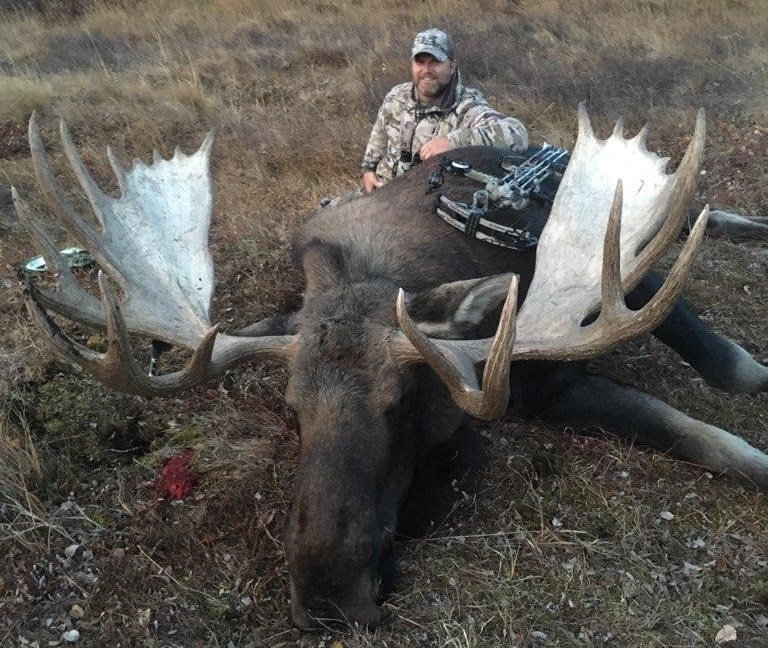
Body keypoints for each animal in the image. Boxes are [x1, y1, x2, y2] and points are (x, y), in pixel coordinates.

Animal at [14, 106, 768, 629]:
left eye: (401, 402)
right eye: (291, 410)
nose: (325, 597)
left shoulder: (620, 286)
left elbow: (730, 382)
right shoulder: (542, 389)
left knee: (690, 213)